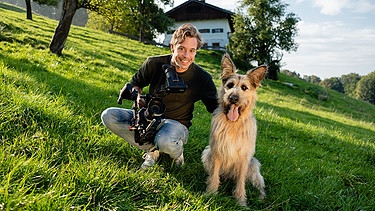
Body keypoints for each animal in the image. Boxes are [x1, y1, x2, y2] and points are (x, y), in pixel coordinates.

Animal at [203, 52, 268, 206]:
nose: (233, 98)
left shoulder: (244, 158)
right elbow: (214, 175)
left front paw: (240, 201)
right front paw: (211, 193)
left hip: (254, 166)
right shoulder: (216, 151)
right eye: (230, 85)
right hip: (206, 153)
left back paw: (261, 197)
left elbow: (240, 182)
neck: (233, 124)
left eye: (244, 88)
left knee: (260, 185)